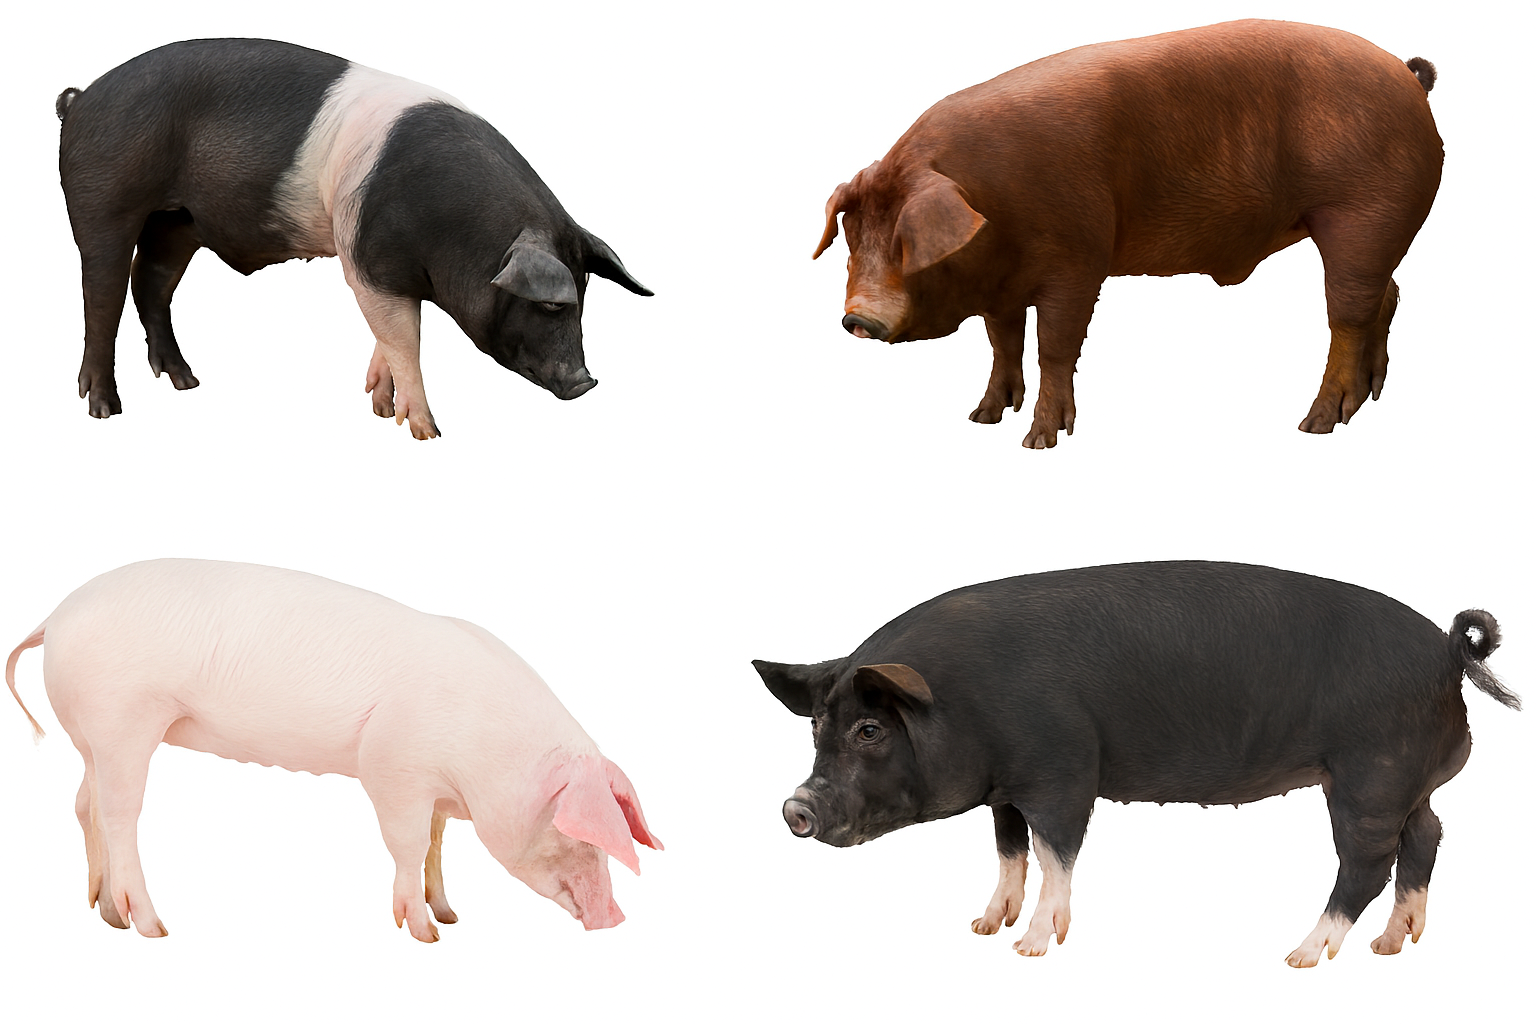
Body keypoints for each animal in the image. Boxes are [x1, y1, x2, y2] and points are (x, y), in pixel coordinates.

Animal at [5, 559, 661, 940]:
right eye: (579, 833)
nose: (615, 918)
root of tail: (54, 617)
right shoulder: (391, 766)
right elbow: (407, 844)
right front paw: (426, 935)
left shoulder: (436, 791)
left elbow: (435, 846)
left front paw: (450, 914)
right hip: (123, 720)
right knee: (121, 814)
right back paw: (152, 926)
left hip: (89, 734)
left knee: (83, 803)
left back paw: (105, 915)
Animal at [57, 38, 652, 438]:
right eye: (551, 305)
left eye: (583, 296)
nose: (586, 382)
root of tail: (80, 99)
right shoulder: (364, 259)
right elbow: (404, 338)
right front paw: (426, 432)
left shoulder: (387, 273)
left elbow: (389, 336)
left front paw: (378, 405)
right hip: (102, 202)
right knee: (102, 297)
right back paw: (105, 410)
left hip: (178, 222)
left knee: (150, 284)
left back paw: (187, 383)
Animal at [755, 561, 1518, 966]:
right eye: (817, 727)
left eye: (870, 729)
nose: (795, 806)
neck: (965, 703)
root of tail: (1447, 649)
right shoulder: (1005, 790)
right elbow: (1009, 850)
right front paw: (982, 926)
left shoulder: (1065, 771)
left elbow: (1055, 852)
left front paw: (1029, 949)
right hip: (1406, 783)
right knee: (1427, 836)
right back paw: (1393, 945)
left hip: (1367, 776)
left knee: (1369, 861)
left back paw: (1300, 955)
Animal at [813, 20, 1443, 447]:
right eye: (852, 243)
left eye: (906, 242)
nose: (857, 319)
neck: (991, 207)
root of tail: (1408, 76)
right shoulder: (1001, 285)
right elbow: (1002, 342)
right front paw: (983, 417)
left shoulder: (1078, 261)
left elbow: (1055, 346)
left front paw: (1038, 442)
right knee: (1386, 297)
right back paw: (1368, 398)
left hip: (1363, 218)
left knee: (1348, 315)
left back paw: (1315, 424)